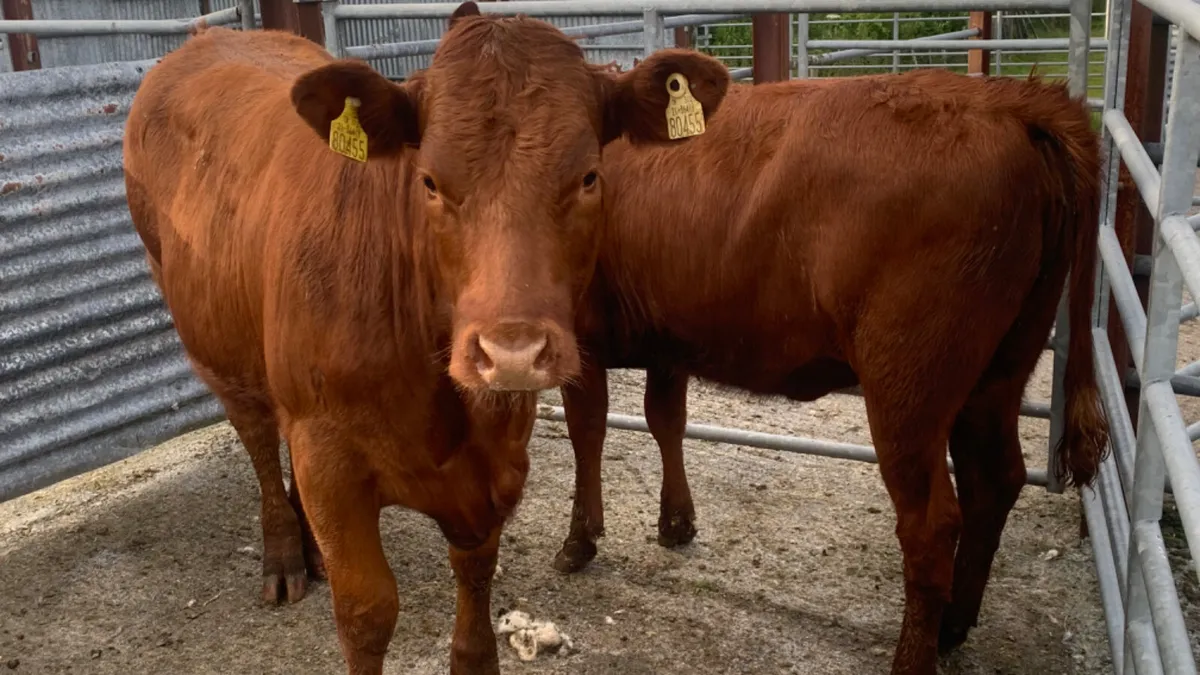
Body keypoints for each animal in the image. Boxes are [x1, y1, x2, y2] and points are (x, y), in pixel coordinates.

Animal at [121, 3, 724, 667]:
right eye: (430, 181)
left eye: (590, 176)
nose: (512, 354)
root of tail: (210, 38)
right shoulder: (329, 456)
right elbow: (367, 613)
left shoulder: (496, 459)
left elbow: (476, 584)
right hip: (218, 348)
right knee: (255, 432)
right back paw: (283, 555)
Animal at [552, 69, 1104, 672]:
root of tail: (1005, 99)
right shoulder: (668, 340)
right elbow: (664, 421)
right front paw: (675, 523)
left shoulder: (580, 334)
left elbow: (587, 431)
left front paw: (579, 539)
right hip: (999, 374)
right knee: (993, 482)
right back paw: (953, 626)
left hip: (907, 388)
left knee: (933, 524)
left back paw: (912, 656)